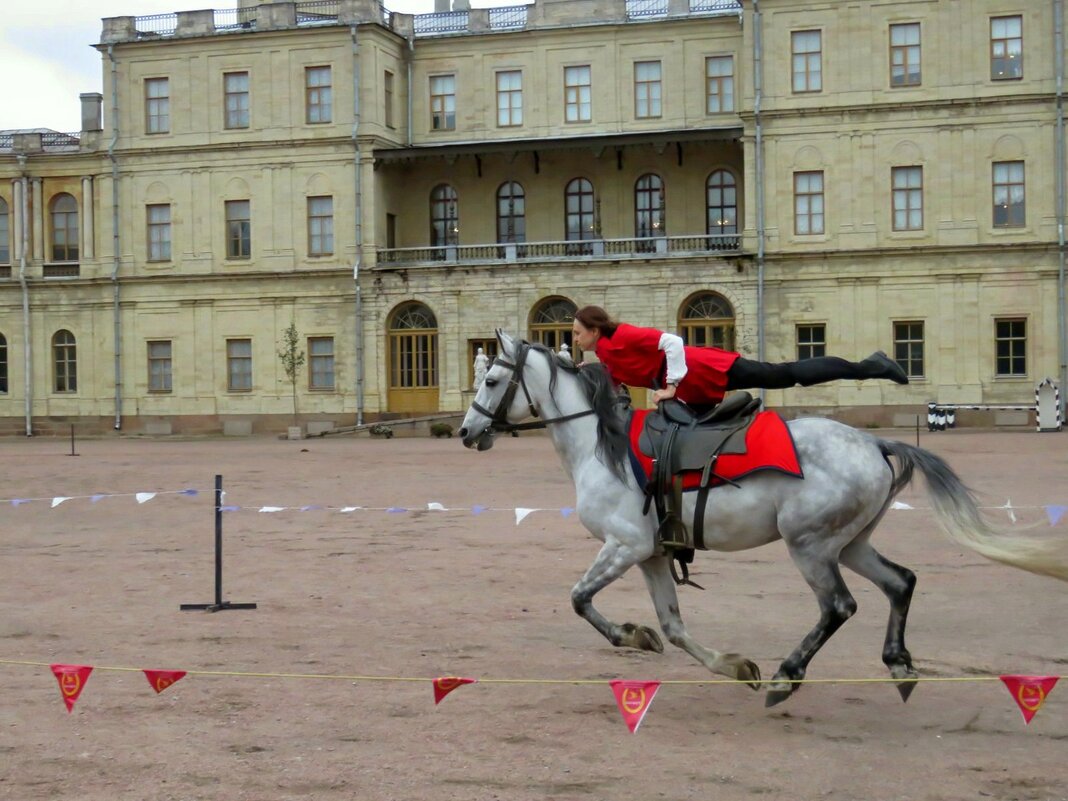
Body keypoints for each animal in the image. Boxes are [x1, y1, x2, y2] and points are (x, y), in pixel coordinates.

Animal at [457, 333, 1068, 709]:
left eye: (490, 382)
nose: (465, 432)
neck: (598, 444)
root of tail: (874, 440)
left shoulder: (624, 546)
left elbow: (581, 599)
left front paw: (632, 636)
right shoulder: (652, 554)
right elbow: (674, 628)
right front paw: (729, 664)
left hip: (810, 547)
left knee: (839, 606)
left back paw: (787, 676)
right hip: (849, 544)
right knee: (901, 583)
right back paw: (898, 665)